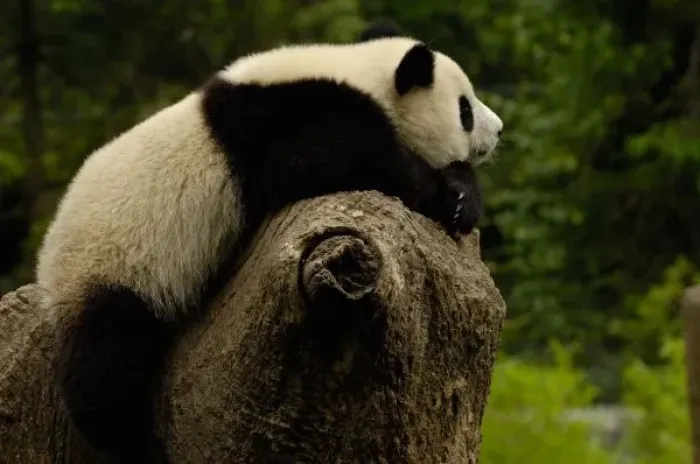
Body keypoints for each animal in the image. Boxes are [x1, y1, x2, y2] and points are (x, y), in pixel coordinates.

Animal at [36, 22, 503, 462]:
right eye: (464, 109)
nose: (498, 129)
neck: (360, 73)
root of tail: (47, 272)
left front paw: (463, 195)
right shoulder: (278, 120)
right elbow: (322, 160)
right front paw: (443, 194)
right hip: (115, 268)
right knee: (107, 365)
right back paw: (133, 442)